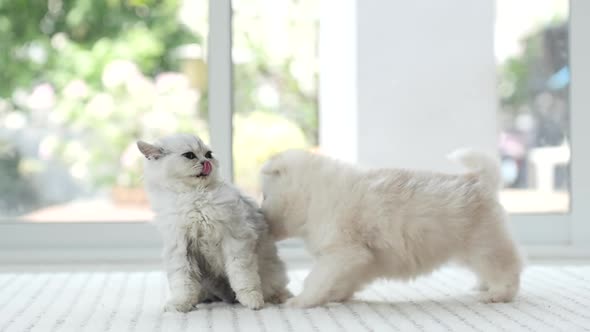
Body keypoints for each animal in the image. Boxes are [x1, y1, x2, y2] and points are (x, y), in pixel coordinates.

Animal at [137, 133, 290, 312]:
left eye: (208, 154)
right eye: (190, 155)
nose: (206, 162)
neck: (195, 197)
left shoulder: (236, 238)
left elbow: (242, 276)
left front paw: (252, 301)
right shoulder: (180, 248)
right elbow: (183, 283)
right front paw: (180, 305)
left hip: (271, 273)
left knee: (276, 289)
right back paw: (203, 300)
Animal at [262, 149, 524, 308]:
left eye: (264, 195)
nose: (260, 215)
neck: (311, 195)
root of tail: (478, 179)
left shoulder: (341, 252)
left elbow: (315, 279)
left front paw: (301, 301)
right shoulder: (356, 260)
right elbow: (341, 280)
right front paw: (336, 296)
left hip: (484, 245)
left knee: (507, 268)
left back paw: (497, 293)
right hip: (470, 249)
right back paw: (483, 285)